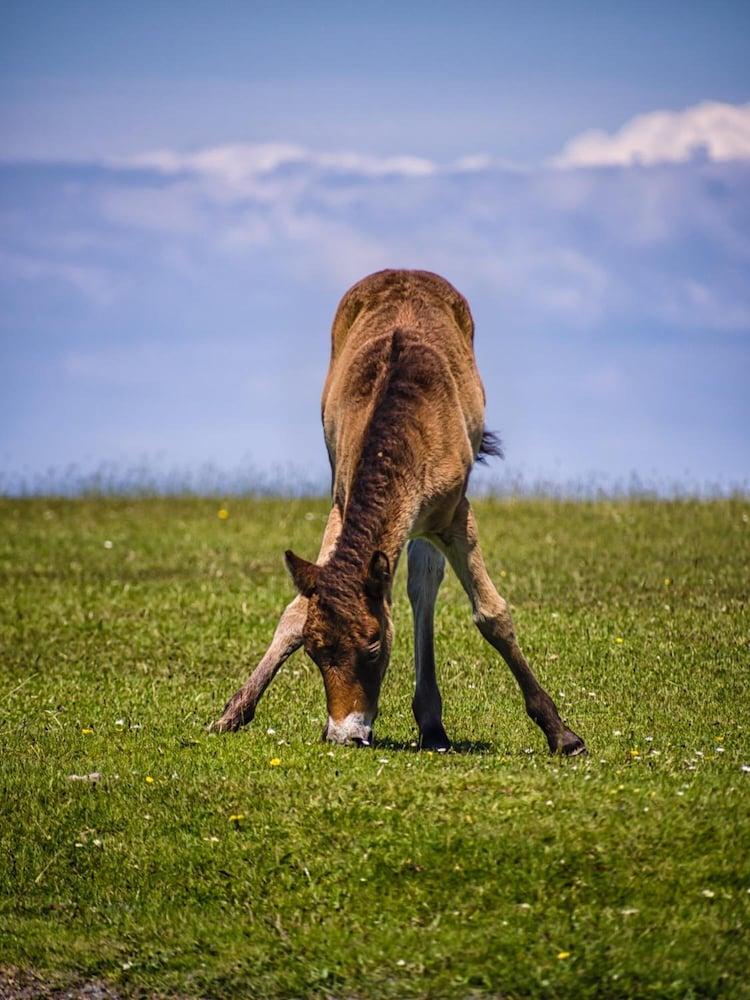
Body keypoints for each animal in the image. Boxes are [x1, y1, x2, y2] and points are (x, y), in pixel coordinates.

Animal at [212, 270, 588, 752]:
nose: (346, 735)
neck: (404, 428)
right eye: (314, 652)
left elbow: (492, 615)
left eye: (374, 646)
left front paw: (561, 733)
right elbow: (296, 610)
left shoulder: (455, 514)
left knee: (423, 585)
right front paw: (232, 712)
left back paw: (432, 723)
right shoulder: (341, 501)